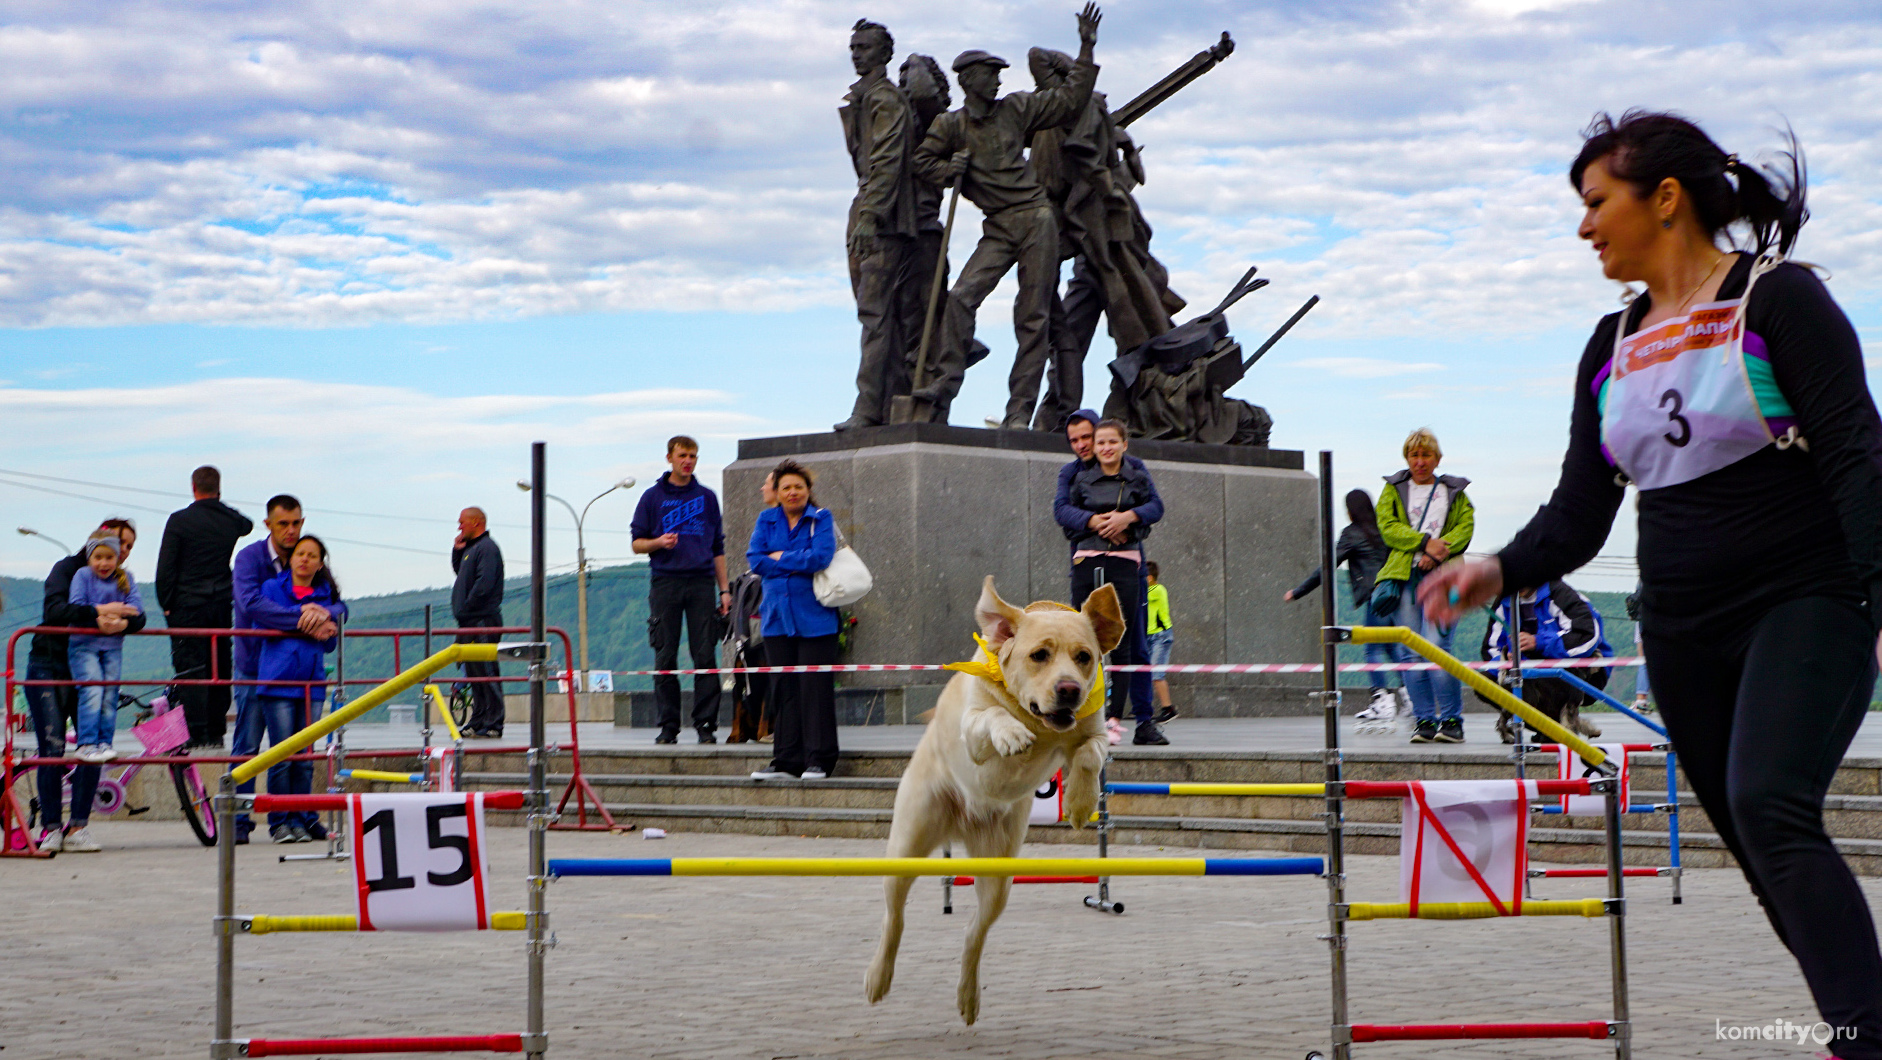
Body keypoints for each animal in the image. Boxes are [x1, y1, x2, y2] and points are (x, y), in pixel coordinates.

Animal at [861, 576, 1114, 1024]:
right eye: (1039, 655)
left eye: (1084, 657)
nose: (1068, 689)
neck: (1038, 722)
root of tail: (962, 824)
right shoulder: (974, 732)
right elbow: (994, 718)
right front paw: (1011, 734)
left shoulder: (1095, 731)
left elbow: (1087, 754)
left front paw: (1082, 804)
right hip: (907, 844)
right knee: (896, 918)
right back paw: (879, 978)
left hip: (999, 875)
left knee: (973, 934)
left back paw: (968, 997)